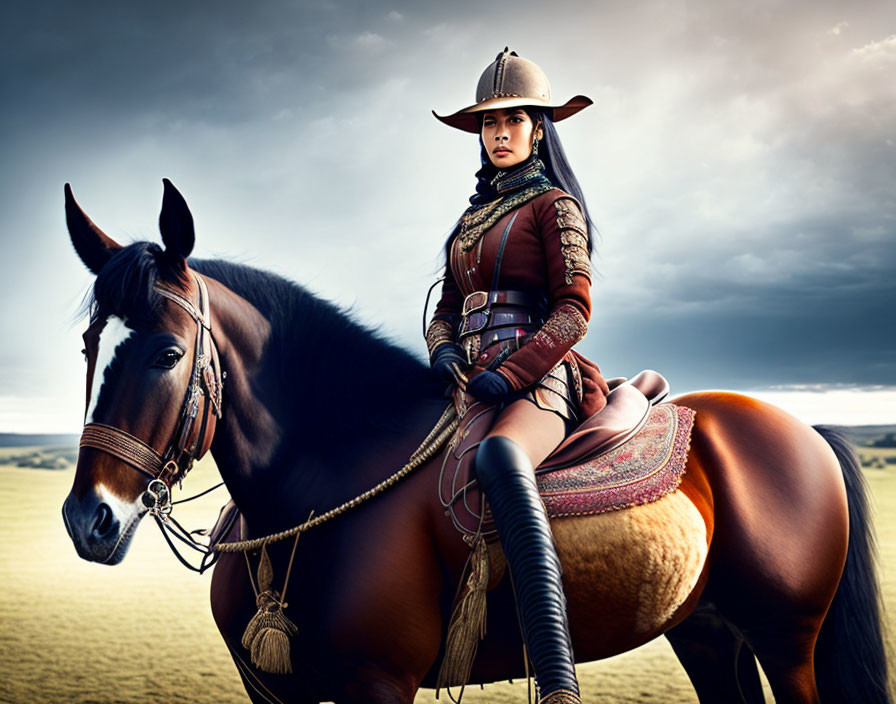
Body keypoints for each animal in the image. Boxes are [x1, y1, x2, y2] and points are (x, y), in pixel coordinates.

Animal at [61, 182, 888, 704]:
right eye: (89, 348)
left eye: (167, 354)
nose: (86, 519)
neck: (309, 498)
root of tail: (800, 430)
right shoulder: (272, 691)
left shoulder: (377, 685)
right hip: (708, 631)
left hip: (788, 638)